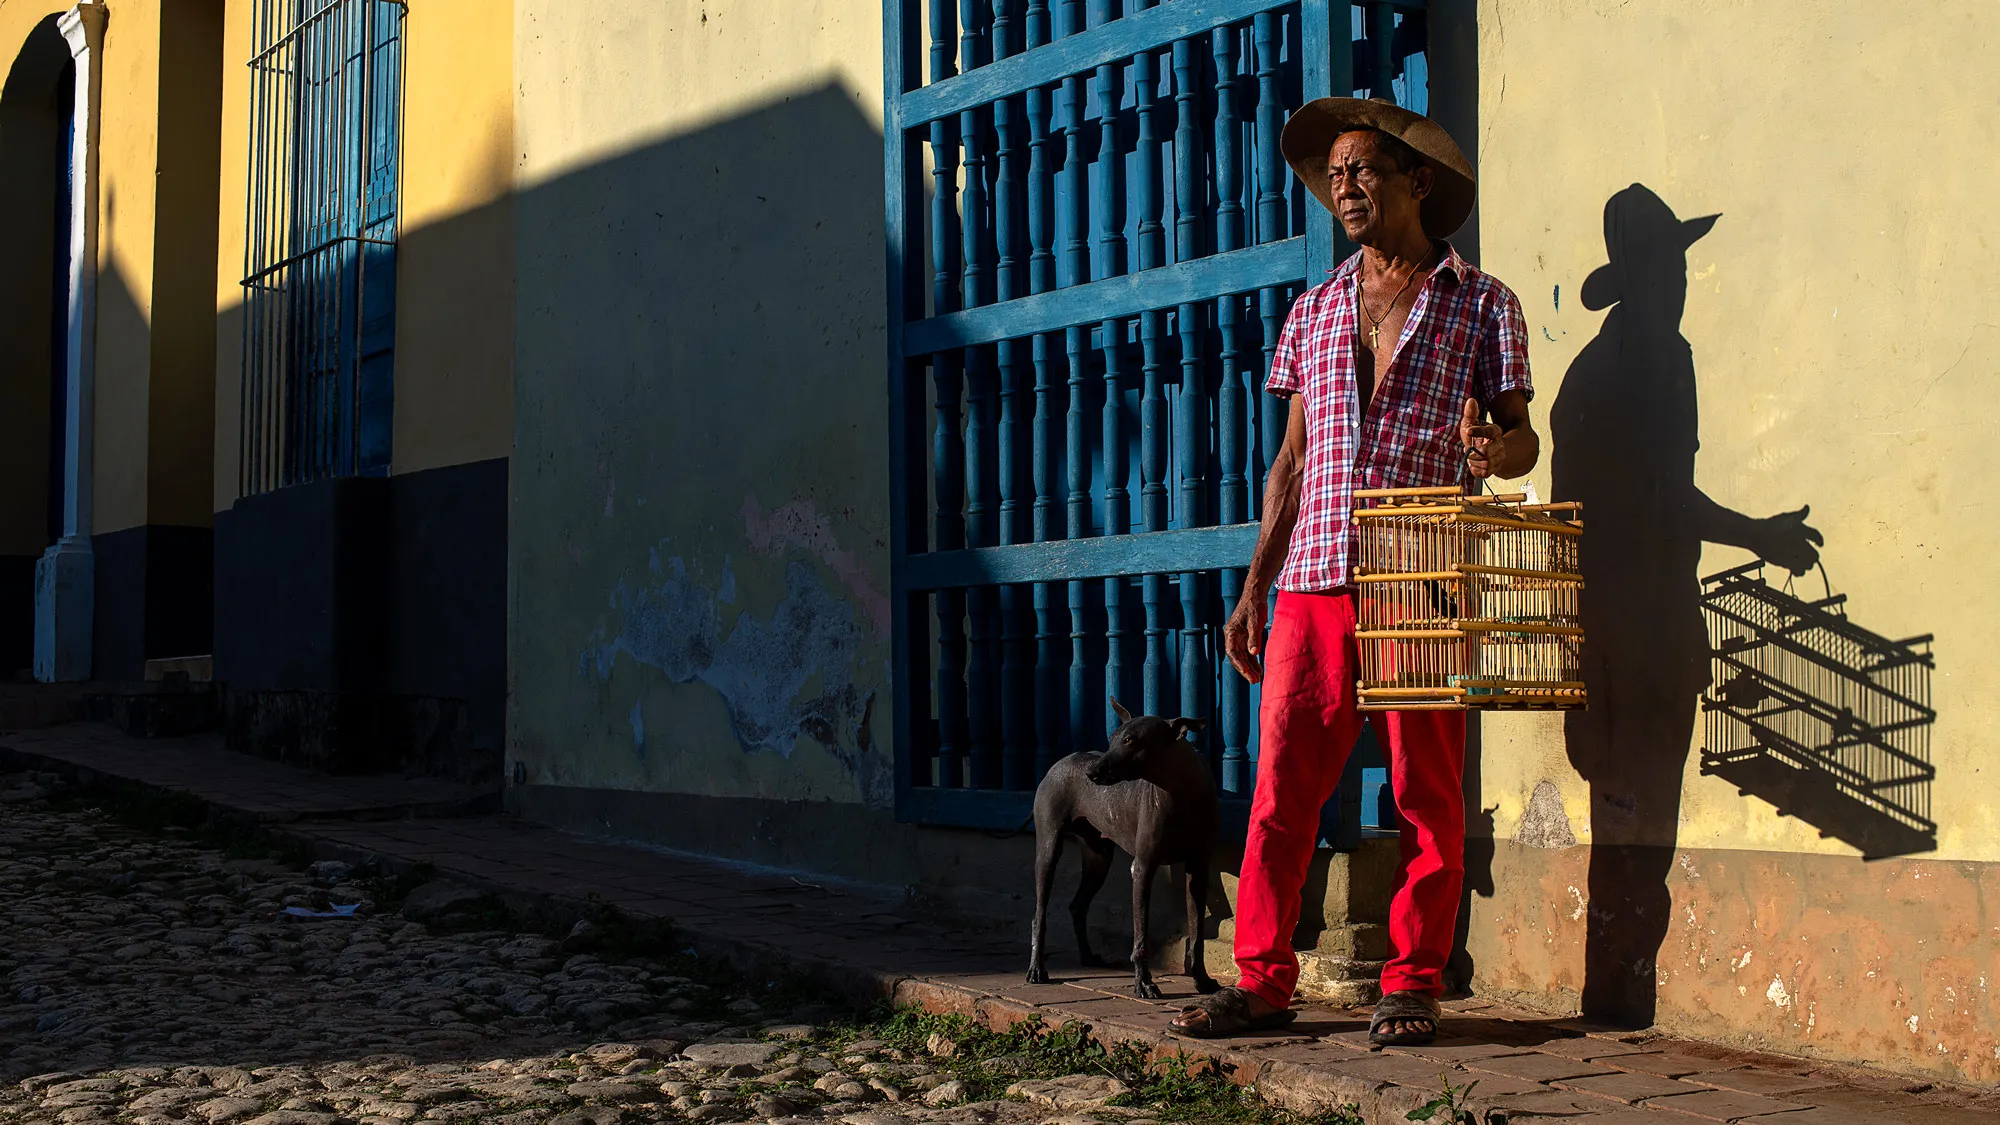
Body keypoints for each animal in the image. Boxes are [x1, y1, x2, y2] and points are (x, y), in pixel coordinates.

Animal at [1032, 692, 1216, 996]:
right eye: (1113, 738)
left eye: (1130, 740)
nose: (1091, 773)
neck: (1178, 794)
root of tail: (1062, 760)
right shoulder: (1143, 868)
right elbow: (1140, 937)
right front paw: (1144, 983)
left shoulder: (1198, 869)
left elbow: (1197, 932)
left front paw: (1201, 979)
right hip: (1049, 850)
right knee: (1040, 914)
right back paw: (1037, 969)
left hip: (1098, 859)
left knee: (1077, 906)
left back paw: (1088, 957)